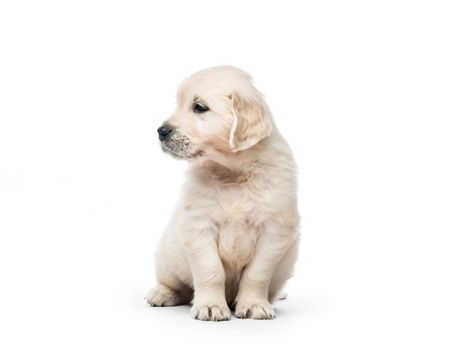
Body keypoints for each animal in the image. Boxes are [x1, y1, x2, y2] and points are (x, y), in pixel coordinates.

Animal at [146, 65, 300, 320]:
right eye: (179, 103)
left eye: (199, 107)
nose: (161, 131)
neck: (233, 173)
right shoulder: (198, 226)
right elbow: (211, 270)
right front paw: (210, 306)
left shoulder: (274, 231)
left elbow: (257, 273)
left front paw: (254, 305)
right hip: (168, 256)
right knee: (174, 283)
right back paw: (162, 294)